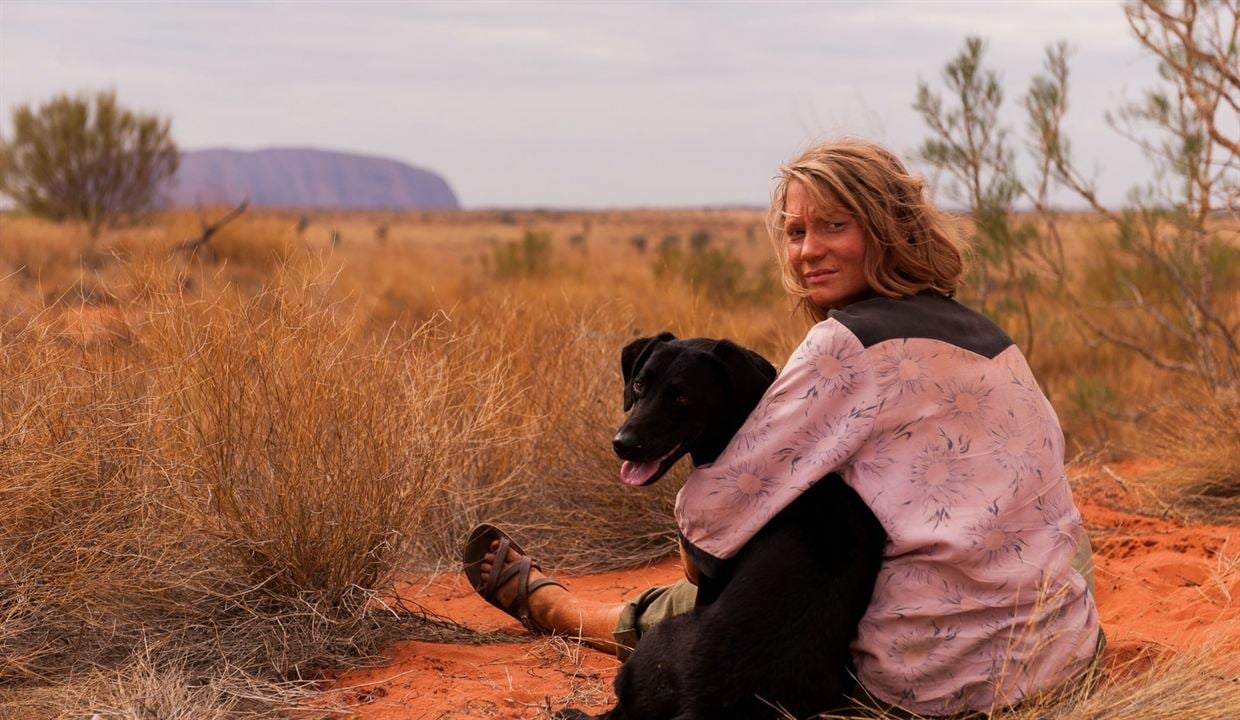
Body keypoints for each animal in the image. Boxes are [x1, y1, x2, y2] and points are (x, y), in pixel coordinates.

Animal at [558, 334, 887, 718]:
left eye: (682, 397)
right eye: (639, 384)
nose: (622, 444)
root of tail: (708, 707)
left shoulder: (708, 577)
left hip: (656, 642)